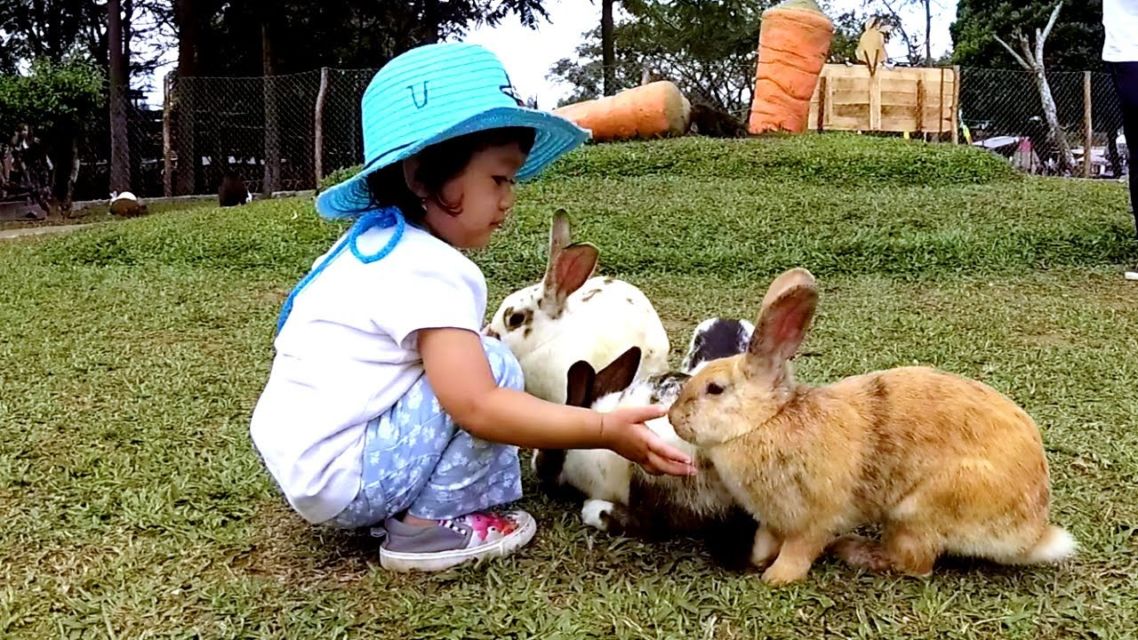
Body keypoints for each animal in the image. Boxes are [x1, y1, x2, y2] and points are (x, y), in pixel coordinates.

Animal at [664, 266, 1074, 587]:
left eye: (714, 389)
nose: (673, 418)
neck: (768, 421)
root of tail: (1032, 534)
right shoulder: (772, 518)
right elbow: (767, 539)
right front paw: (759, 561)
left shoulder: (812, 519)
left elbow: (800, 550)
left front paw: (776, 578)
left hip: (917, 513)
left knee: (915, 564)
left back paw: (855, 551)